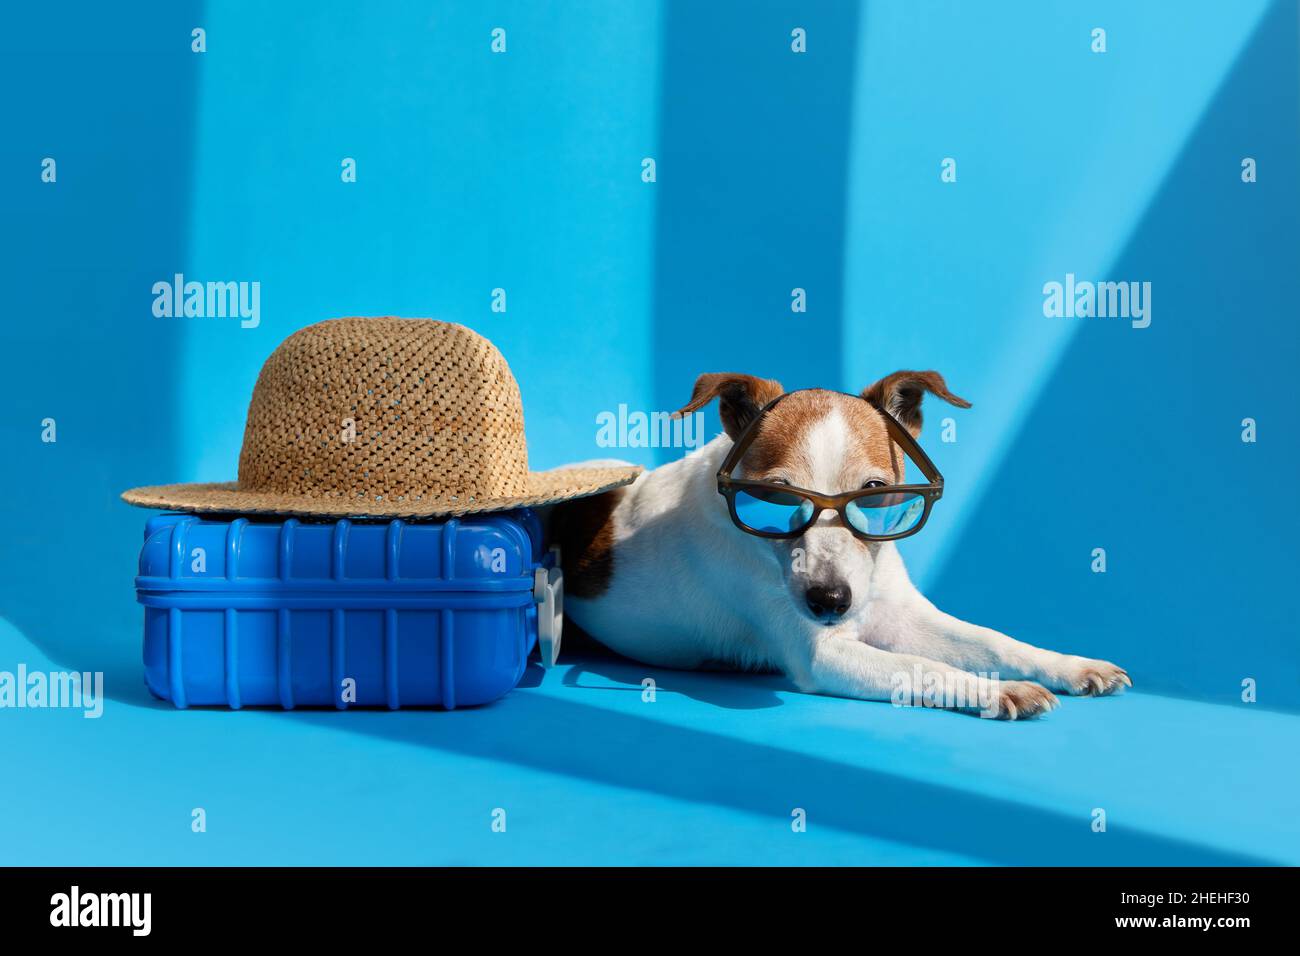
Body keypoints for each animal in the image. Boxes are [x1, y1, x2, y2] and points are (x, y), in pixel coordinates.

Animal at [548, 369, 1128, 723]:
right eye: (774, 498)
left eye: (873, 494)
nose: (829, 600)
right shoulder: (823, 653)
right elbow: (922, 667)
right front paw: (993, 690)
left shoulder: (905, 618)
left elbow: (995, 642)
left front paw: (1067, 665)